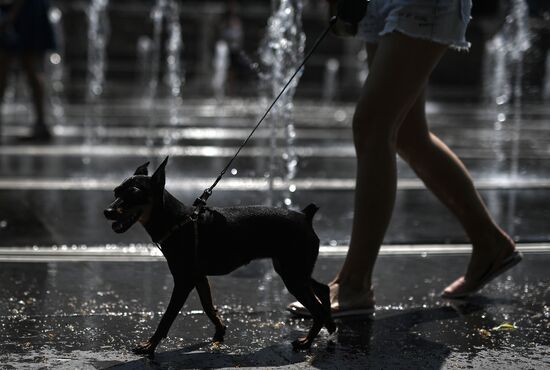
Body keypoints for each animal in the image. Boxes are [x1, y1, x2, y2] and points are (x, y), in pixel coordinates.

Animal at [104, 158, 336, 356]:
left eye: (134, 195)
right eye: (116, 192)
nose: (107, 211)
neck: (178, 221)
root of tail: (305, 216)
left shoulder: (184, 281)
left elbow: (167, 317)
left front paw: (150, 345)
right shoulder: (198, 277)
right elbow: (208, 306)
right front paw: (220, 330)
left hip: (293, 274)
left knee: (316, 308)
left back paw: (307, 341)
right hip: (292, 269)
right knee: (322, 289)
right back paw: (330, 325)